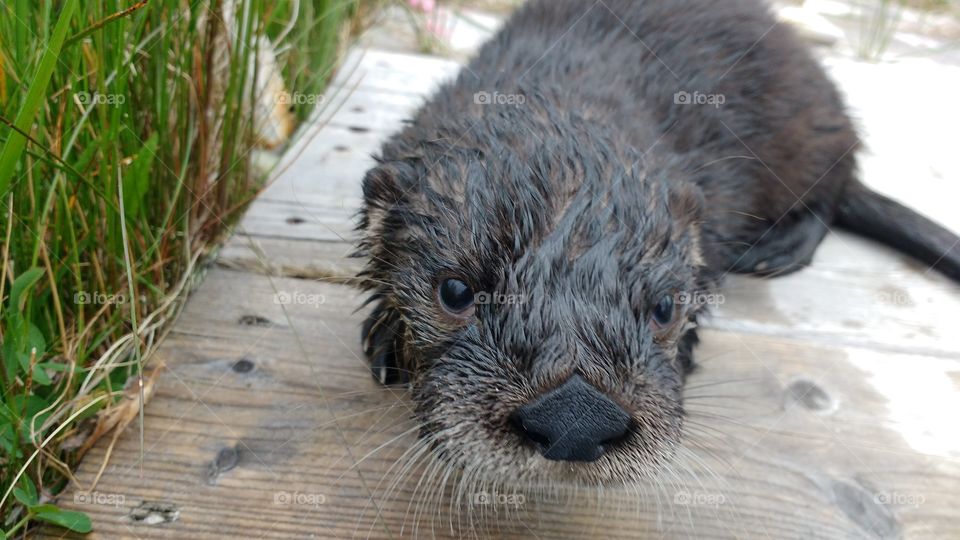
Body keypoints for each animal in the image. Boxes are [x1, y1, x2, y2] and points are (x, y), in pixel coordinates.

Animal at [356, 0, 960, 485]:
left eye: (665, 308)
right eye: (455, 291)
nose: (575, 417)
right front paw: (385, 334)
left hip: (811, 128)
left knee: (835, 187)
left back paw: (779, 248)